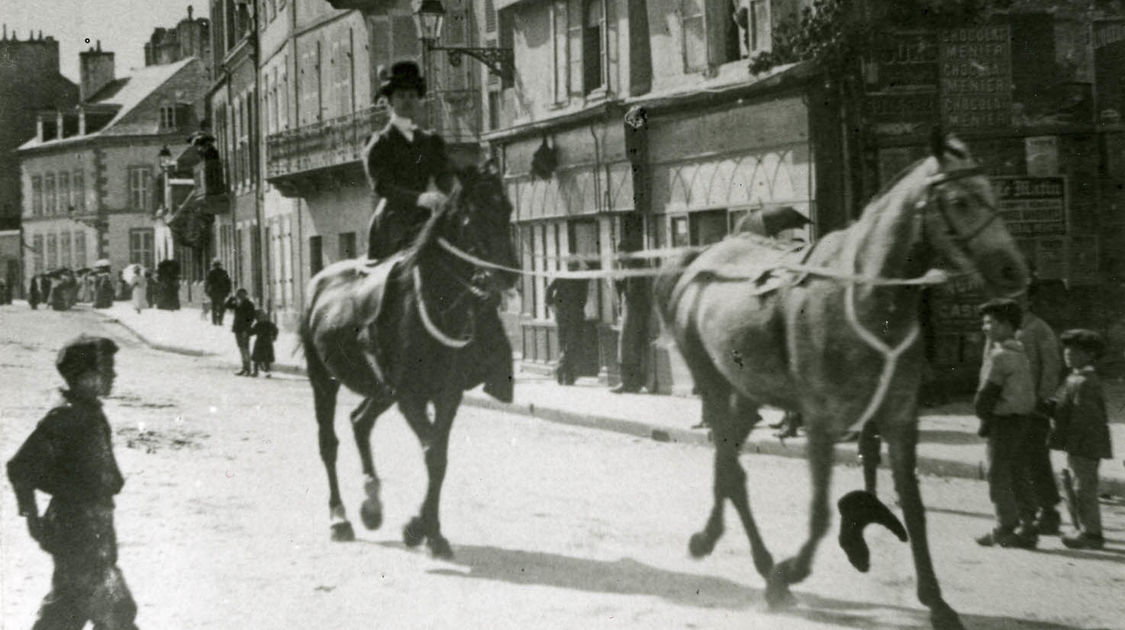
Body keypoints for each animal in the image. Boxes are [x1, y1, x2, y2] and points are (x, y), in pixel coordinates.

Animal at [299, 162, 517, 555]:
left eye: (506, 209)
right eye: (472, 216)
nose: (507, 274)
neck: (435, 302)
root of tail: (318, 282)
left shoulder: (446, 395)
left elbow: (439, 456)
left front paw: (431, 531)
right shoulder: (410, 396)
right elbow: (432, 451)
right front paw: (418, 528)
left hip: (382, 390)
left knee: (360, 422)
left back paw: (371, 504)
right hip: (323, 380)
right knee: (328, 443)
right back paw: (340, 518)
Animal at [652, 133, 1030, 630]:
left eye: (994, 194)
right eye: (959, 200)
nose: (1013, 271)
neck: (865, 295)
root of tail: (702, 259)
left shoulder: (899, 418)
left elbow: (914, 508)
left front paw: (936, 601)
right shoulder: (821, 421)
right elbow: (819, 514)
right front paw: (790, 572)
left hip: (747, 392)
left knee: (728, 462)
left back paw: (720, 540)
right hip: (710, 380)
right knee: (731, 469)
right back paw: (759, 564)